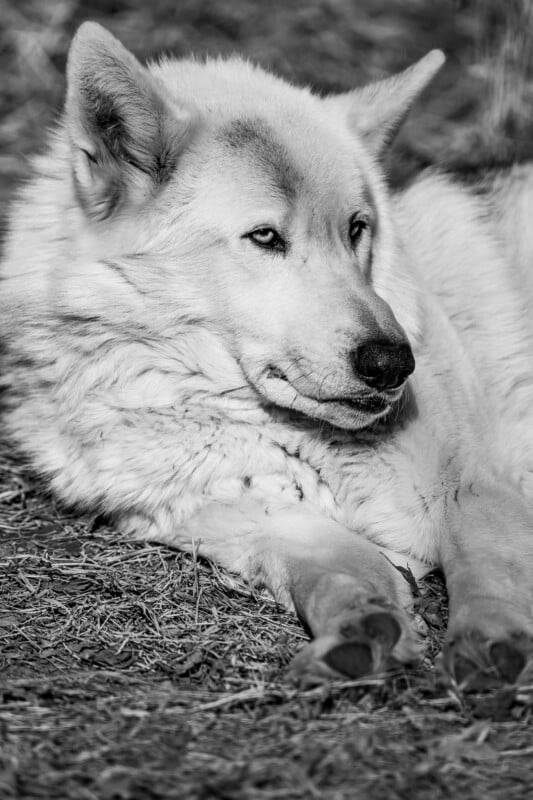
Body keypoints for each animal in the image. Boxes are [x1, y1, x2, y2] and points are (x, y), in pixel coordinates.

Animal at [2, 21, 533, 688]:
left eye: (357, 229)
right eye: (265, 237)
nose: (393, 364)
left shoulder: (477, 488)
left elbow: (487, 574)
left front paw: (494, 645)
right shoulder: (264, 525)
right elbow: (344, 577)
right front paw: (361, 636)